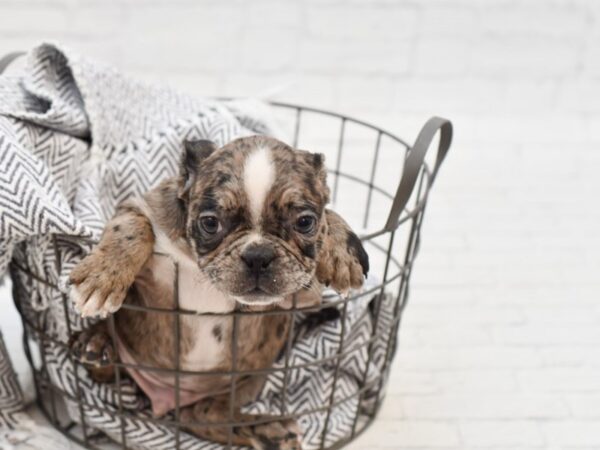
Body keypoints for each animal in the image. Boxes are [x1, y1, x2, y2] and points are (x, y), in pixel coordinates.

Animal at [68, 136, 368, 450]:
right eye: (210, 223)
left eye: (305, 222)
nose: (258, 255)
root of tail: (167, 399)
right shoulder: (139, 209)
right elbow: (132, 228)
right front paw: (102, 277)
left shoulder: (303, 295)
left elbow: (329, 217)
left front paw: (342, 252)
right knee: (104, 370)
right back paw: (97, 343)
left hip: (243, 386)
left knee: (207, 415)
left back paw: (270, 430)